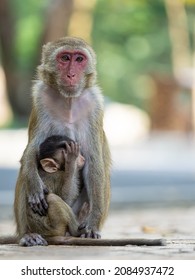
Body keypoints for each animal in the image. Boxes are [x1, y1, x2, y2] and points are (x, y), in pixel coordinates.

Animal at [13, 36, 111, 245]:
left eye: (79, 59)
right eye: (65, 58)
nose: (71, 74)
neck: (69, 101)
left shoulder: (96, 105)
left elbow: (94, 163)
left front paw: (92, 225)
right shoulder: (40, 99)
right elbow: (30, 152)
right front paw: (35, 185)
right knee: (25, 171)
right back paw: (28, 235)